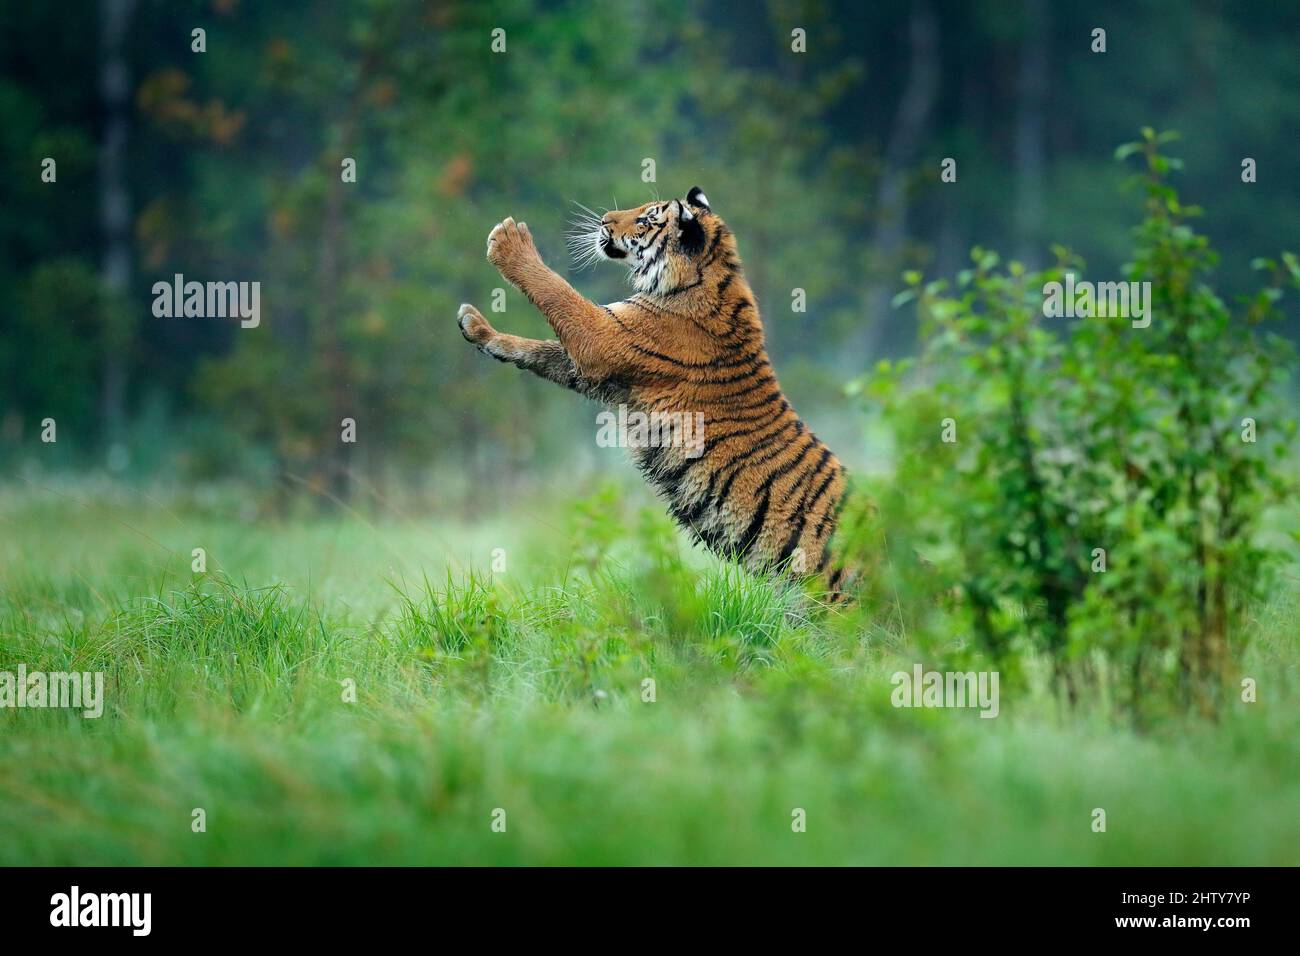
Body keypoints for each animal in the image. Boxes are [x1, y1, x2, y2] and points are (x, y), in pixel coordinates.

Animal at [457, 187, 852, 600]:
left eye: (646, 220)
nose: (604, 219)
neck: (709, 273)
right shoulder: (607, 371)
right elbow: (536, 348)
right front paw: (477, 327)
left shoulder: (604, 338)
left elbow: (560, 293)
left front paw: (509, 242)